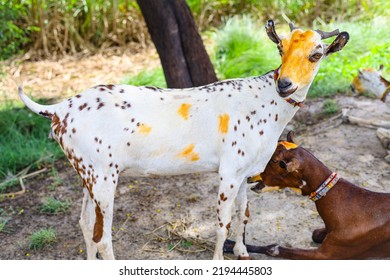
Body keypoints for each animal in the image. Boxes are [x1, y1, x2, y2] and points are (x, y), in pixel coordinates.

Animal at [17, 20, 350, 260]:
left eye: (317, 53)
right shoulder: (229, 171)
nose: (285, 84)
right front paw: (219, 260)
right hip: (102, 177)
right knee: (102, 238)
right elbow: (222, 223)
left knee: (85, 226)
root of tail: (59, 109)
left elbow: (244, 212)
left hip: (87, 173)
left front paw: (242, 252)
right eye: (280, 47)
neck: (266, 102)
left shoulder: (246, 170)